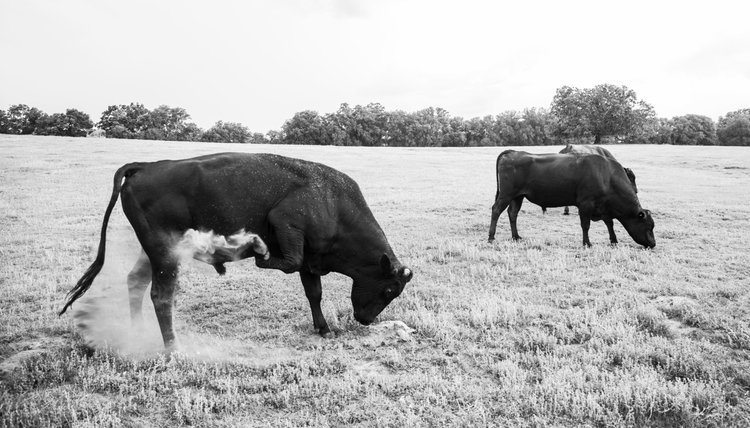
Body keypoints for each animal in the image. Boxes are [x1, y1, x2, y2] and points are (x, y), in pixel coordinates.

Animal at [59, 153, 413, 351]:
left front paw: (324, 329)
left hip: (153, 253)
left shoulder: (311, 263)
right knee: (161, 296)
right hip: (165, 254)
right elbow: (284, 262)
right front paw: (254, 249)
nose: (366, 320)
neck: (333, 203)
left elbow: (314, 293)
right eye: (390, 288)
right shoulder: (286, 225)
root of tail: (145, 167)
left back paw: (137, 332)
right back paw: (173, 348)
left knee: (135, 281)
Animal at [488, 150, 655, 248]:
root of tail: (512, 152)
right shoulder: (585, 204)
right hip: (506, 194)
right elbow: (585, 225)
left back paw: (516, 237)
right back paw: (491, 237)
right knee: (496, 210)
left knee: (512, 213)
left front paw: (613, 240)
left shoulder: (604, 207)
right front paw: (587, 243)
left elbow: (609, 223)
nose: (653, 244)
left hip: (517, 196)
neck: (606, 176)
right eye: (648, 226)